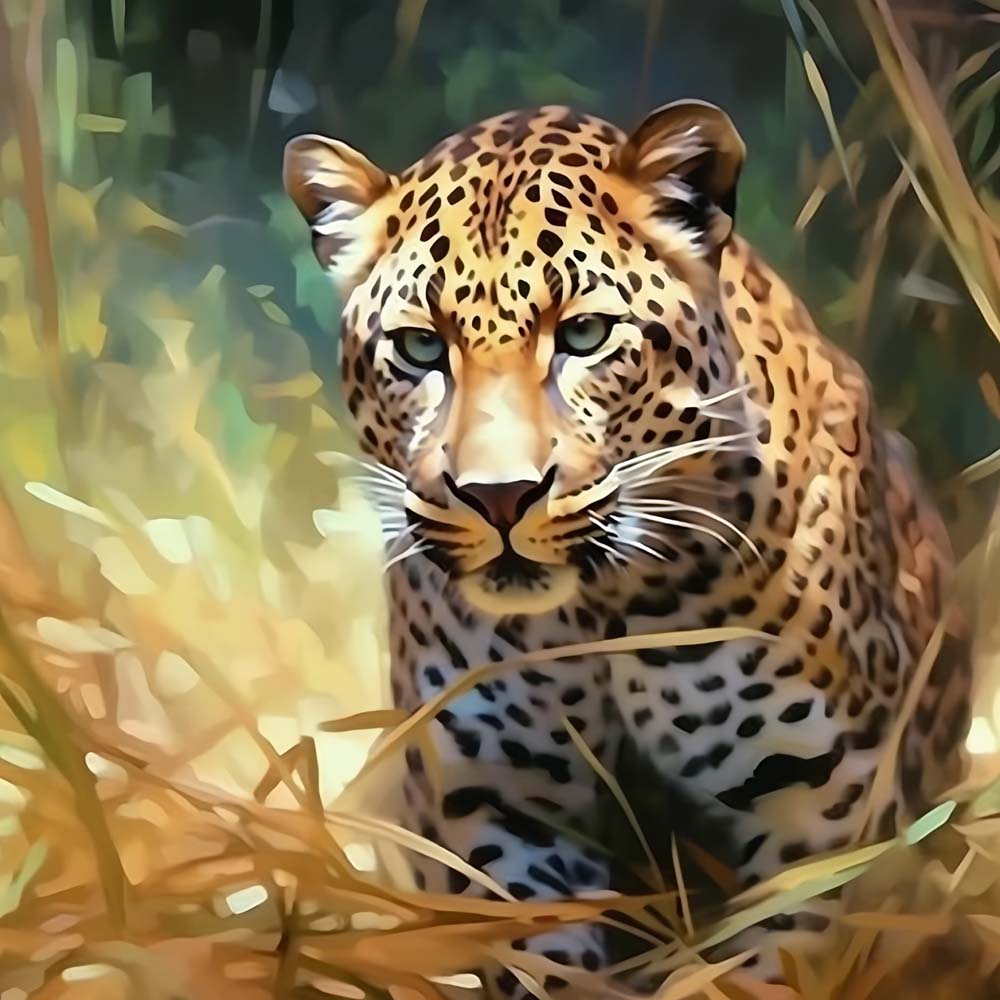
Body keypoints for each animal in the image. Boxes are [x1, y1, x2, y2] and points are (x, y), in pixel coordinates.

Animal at [283, 101, 971, 996]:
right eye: (422, 348)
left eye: (584, 334)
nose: (498, 496)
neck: (598, 614)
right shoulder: (497, 799)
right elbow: (542, 955)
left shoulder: (829, 801)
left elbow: (771, 959)